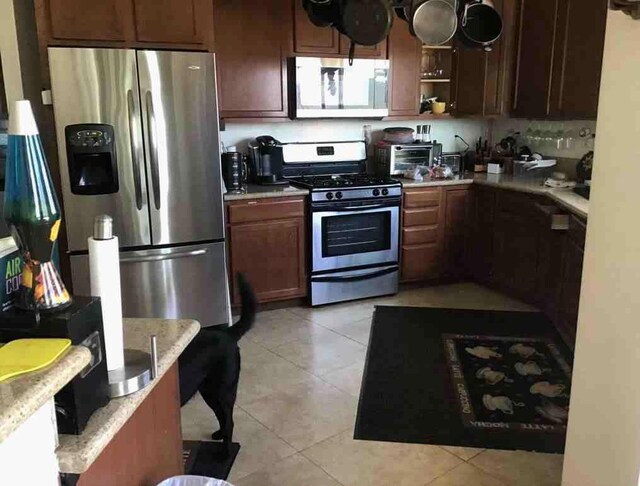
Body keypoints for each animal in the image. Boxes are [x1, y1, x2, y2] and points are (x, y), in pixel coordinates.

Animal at [178, 274, 258, 452]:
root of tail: (226, 333)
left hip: (223, 390)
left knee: (229, 422)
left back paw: (226, 453)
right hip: (208, 391)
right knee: (222, 417)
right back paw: (220, 435)